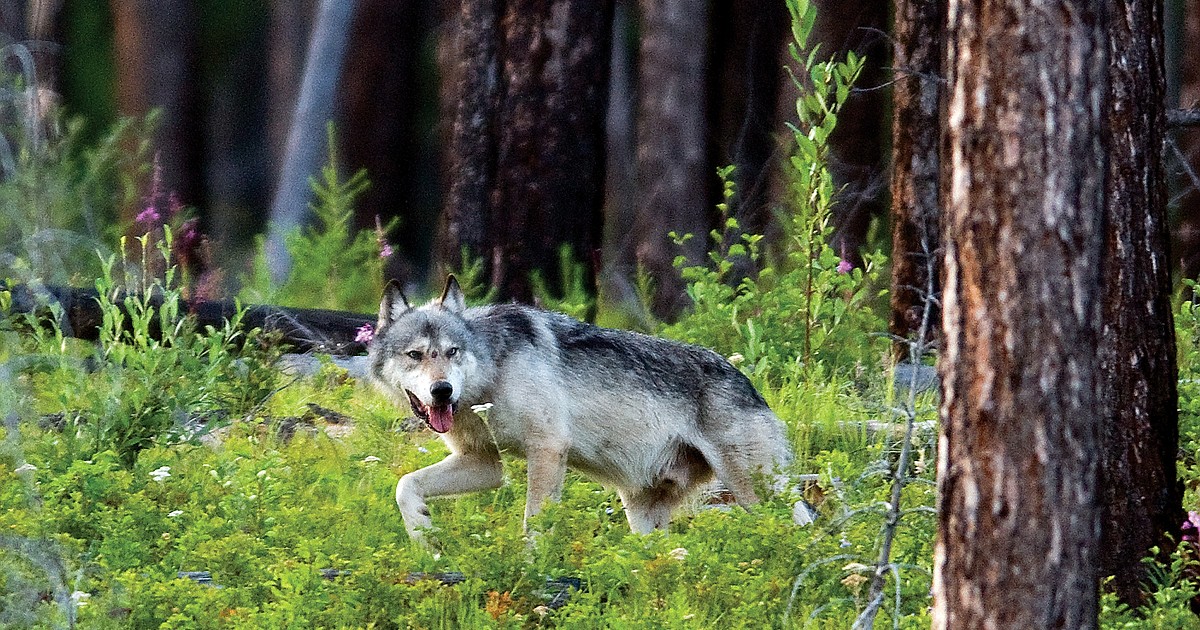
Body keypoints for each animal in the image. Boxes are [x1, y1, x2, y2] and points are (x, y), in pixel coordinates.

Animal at [367, 276, 794, 542]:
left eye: (452, 352)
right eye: (415, 355)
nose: (442, 391)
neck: (491, 373)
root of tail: (750, 385)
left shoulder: (548, 449)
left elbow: (534, 525)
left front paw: (532, 570)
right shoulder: (487, 464)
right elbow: (405, 486)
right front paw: (425, 540)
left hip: (757, 493)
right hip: (642, 514)